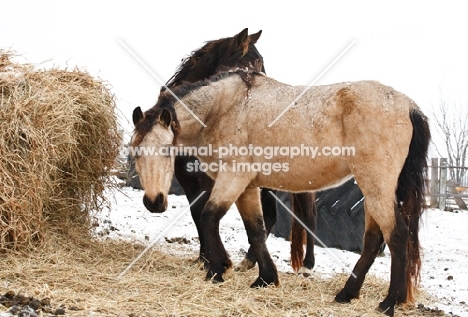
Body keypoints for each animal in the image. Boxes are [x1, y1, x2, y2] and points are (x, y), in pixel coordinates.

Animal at [132, 69, 432, 316]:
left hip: (376, 186)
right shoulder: (247, 187)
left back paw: (388, 302)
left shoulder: (232, 179)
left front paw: (218, 270)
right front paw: (265, 278)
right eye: (134, 151)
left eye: (167, 150)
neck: (226, 108)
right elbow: (255, 229)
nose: (154, 202)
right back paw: (347, 294)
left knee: (397, 236)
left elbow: (209, 218)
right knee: (372, 240)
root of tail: (409, 106)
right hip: (373, 190)